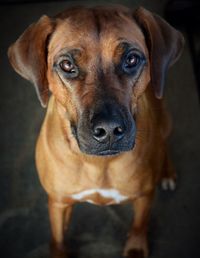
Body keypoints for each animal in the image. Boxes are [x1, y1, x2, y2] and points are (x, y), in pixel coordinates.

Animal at [7, 4, 184, 258]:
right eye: (67, 65)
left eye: (131, 59)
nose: (109, 129)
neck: (98, 164)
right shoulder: (58, 202)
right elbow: (58, 238)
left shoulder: (144, 196)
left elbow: (139, 225)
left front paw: (135, 247)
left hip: (166, 120)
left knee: (165, 143)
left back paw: (167, 171)